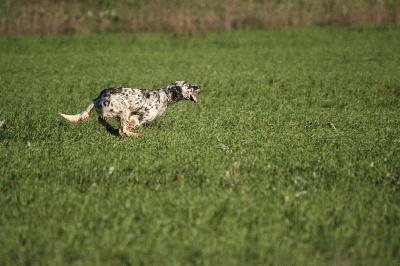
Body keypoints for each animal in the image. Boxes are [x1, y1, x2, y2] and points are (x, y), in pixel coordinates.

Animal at [59, 80, 202, 137]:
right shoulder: (139, 117)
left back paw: (111, 129)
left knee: (102, 120)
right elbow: (129, 126)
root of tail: (99, 96)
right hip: (123, 110)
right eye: (189, 85)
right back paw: (136, 135)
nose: (199, 86)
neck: (164, 96)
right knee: (122, 129)